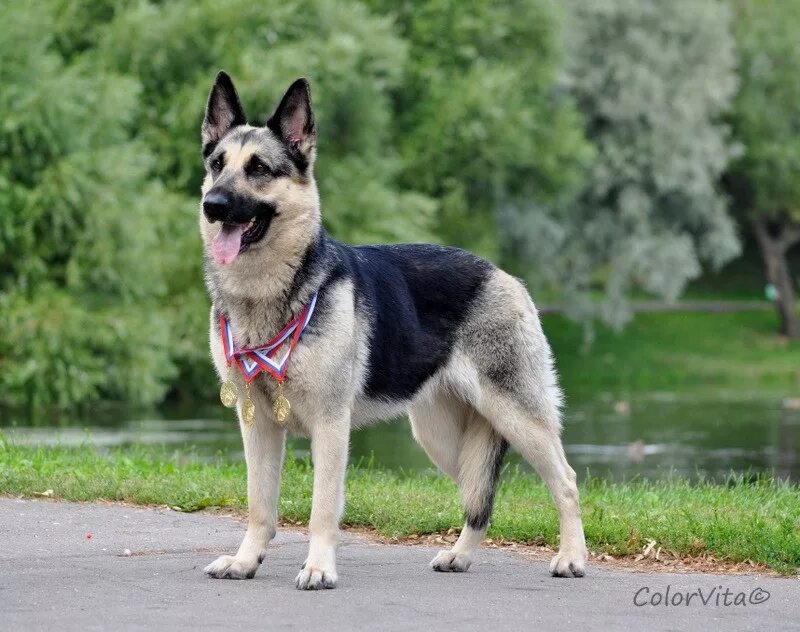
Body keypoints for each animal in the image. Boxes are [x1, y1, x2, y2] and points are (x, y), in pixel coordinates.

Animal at [200, 71, 588, 592]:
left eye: (258, 168)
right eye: (217, 165)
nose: (213, 204)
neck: (273, 294)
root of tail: (504, 275)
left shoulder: (330, 425)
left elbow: (323, 507)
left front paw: (319, 567)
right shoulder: (256, 423)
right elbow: (259, 504)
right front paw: (245, 561)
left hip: (517, 417)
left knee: (565, 481)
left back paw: (572, 557)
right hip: (442, 437)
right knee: (479, 497)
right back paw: (460, 555)